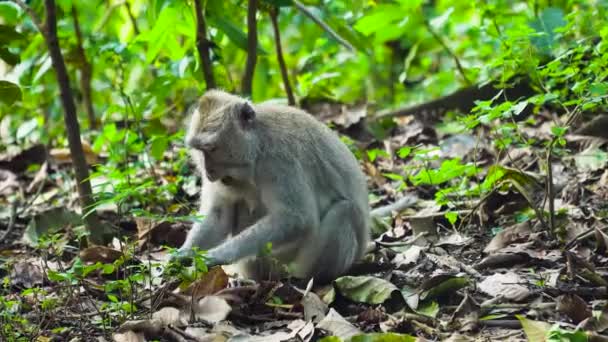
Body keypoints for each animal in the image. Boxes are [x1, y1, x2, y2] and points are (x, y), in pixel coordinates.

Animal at [171, 89, 370, 284]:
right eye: (199, 151)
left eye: (211, 148)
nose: (208, 171)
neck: (258, 146)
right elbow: (219, 214)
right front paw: (183, 254)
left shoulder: (280, 160)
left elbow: (296, 219)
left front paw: (218, 256)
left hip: (289, 261)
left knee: (345, 210)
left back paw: (308, 280)